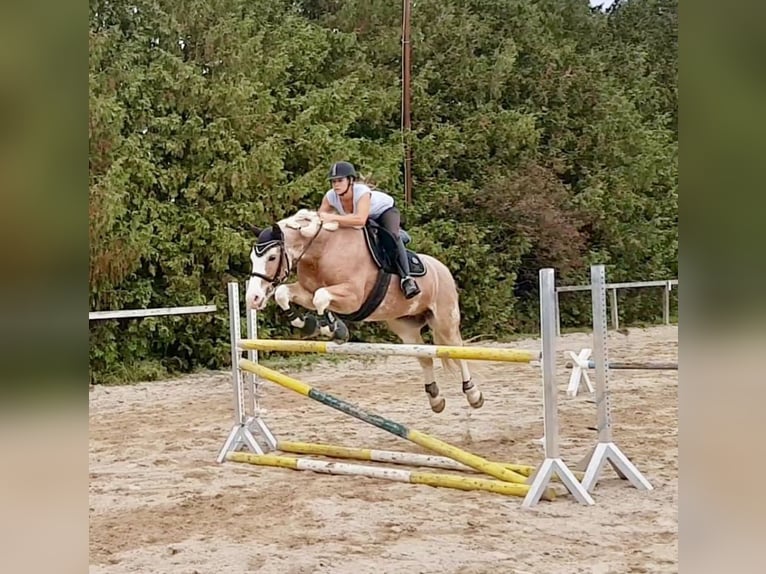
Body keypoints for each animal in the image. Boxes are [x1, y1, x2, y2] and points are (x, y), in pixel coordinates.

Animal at [246, 208, 486, 414]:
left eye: (272, 257)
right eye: (252, 258)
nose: (253, 298)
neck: (321, 250)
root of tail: (442, 268)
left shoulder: (353, 298)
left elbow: (321, 296)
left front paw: (333, 329)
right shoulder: (306, 292)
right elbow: (286, 294)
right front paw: (308, 324)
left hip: (445, 321)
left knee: (457, 351)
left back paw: (473, 394)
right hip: (405, 327)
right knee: (425, 358)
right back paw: (435, 399)